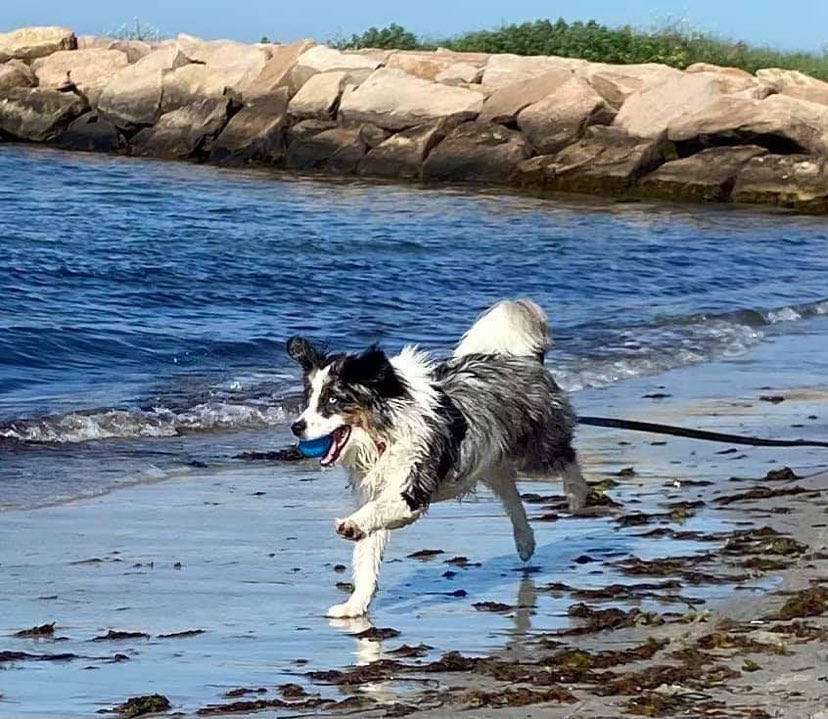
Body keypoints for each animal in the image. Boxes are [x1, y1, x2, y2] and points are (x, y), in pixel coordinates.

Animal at [288, 300, 584, 620]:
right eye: (309, 400)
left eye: (333, 400)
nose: (296, 426)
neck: (383, 430)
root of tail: (525, 360)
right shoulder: (375, 489)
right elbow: (367, 554)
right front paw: (354, 605)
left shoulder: (412, 484)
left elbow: (378, 512)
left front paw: (351, 524)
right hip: (489, 458)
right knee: (510, 493)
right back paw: (525, 541)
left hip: (535, 447)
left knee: (565, 456)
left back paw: (577, 494)